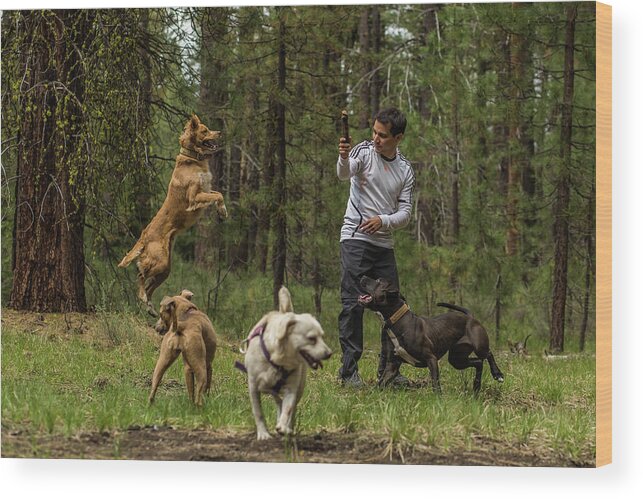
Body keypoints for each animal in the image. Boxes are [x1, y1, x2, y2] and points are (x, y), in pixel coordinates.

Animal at [119, 115, 229, 314]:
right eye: (205, 130)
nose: (219, 132)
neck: (192, 159)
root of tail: (144, 235)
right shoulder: (194, 197)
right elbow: (218, 195)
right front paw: (223, 210)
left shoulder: (206, 189)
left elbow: (217, 193)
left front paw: (222, 211)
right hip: (160, 263)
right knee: (140, 276)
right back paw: (142, 296)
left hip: (165, 268)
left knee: (149, 286)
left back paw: (150, 307)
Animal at [240, 290, 332, 442]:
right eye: (312, 338)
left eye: (322, 337)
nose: (329, 353)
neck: (278, 361)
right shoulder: (253, 387)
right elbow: (258, 412)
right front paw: (263, 433)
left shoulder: (291, 388)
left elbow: (288, 409)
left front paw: (284, 427)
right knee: (278, 402)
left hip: (299, 388)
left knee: (289, 406)